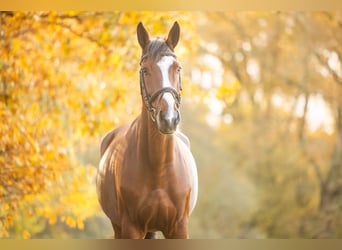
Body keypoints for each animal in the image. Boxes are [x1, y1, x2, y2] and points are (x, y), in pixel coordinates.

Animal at [96, 22, 198, 239]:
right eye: (145, 70)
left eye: (177, 68)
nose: (168, 118)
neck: (158, 168)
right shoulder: (131, 228)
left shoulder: (179, 228)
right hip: (119, 227)